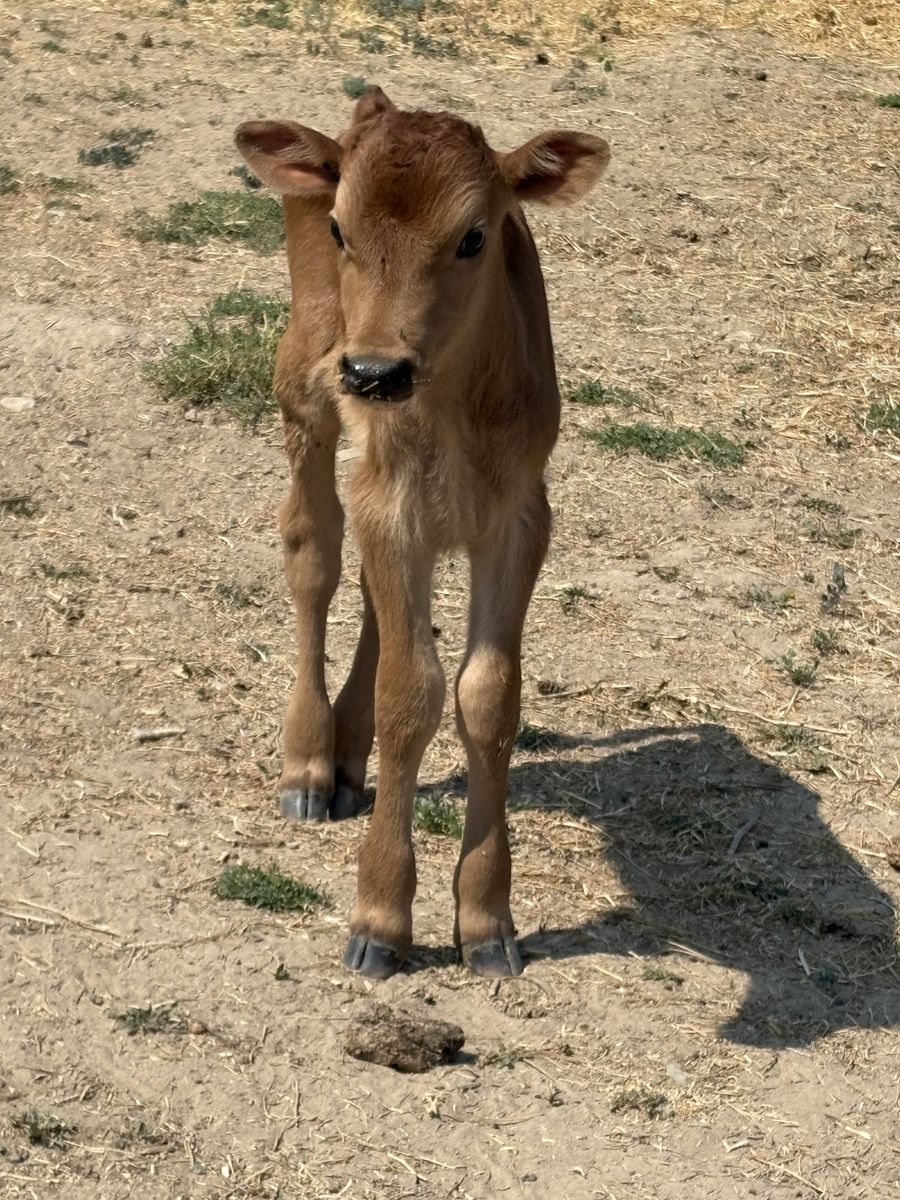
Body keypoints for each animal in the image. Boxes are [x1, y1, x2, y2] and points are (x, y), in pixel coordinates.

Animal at [235, 87, 609, 979]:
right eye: (341, 228)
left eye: (475, 234)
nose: (375, 372)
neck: (453, 410)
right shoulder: (389, 499)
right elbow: (411, 695)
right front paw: (381, 918)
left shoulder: (519, 515)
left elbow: (487, 695)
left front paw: (486, 919)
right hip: (301, 388)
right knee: (313, 554)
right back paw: (310, 762)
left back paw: (346, 755)